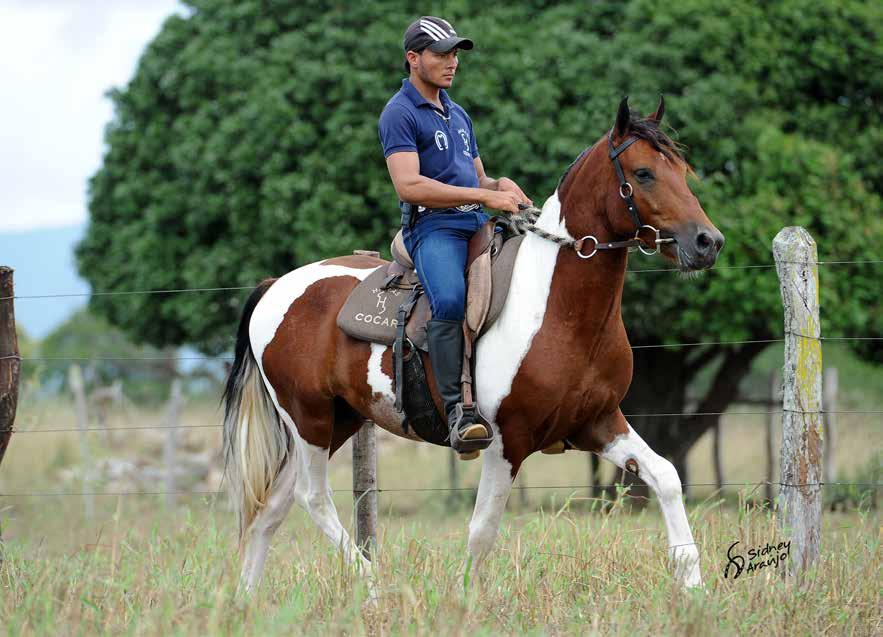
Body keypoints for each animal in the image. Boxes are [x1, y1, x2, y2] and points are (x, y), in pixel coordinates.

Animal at [221, 98, 724, 592]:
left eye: (682, 170)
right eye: (643, 173)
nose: (708, 242)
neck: (557, 308)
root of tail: (276, 286)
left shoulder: (599, 422)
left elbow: (666, 476)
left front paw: (693, 585)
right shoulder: (507, 441)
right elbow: (482, 530)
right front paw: (465, 598)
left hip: (336, 421)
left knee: (273, 507)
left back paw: (247, 601)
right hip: (308, 418)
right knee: (312, 497)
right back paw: (373, 584)